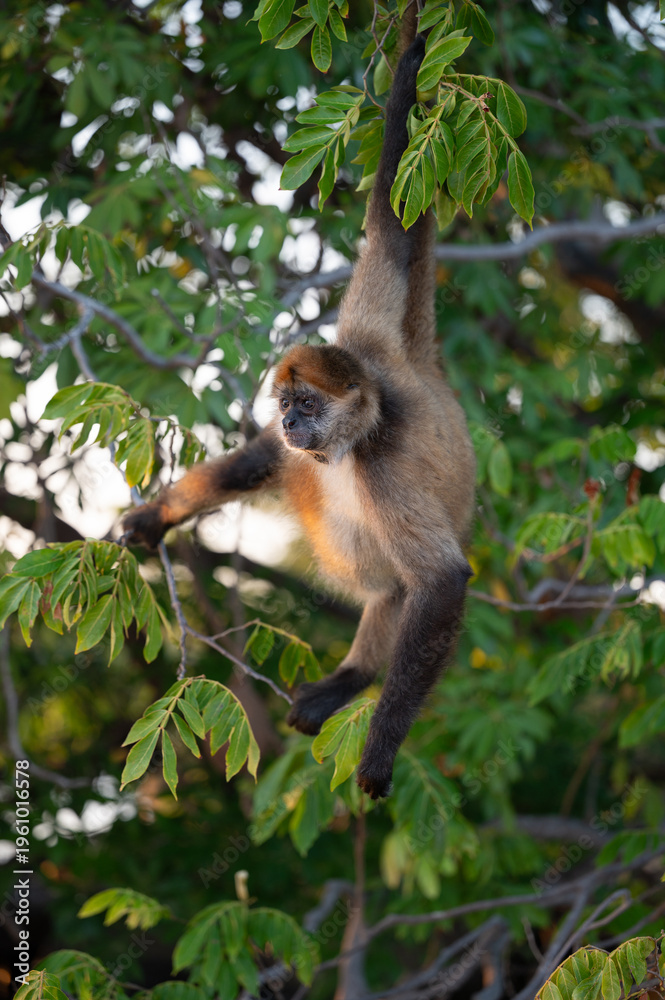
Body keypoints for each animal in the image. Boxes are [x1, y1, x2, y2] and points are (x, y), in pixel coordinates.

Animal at [121, 25, 476, 800]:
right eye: (285, 404)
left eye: (307, 405)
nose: (290, 423)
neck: (371, 418)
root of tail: (424, 370)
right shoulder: (361, 343)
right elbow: (389, 232)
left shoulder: (385, 462)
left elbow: (439, 583)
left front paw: (379, 751)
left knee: (398, 584)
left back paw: (354, 677)